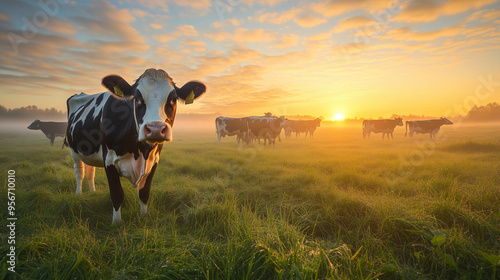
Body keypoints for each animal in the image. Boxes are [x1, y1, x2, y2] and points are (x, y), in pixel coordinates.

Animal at [66, 68, 205, 223]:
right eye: (137, 99)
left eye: (173, 99)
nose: (155, 129)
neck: (140, 151)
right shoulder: (109, 160)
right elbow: (117, 194)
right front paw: (117, 223)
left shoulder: (154, 161)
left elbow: (144, 193)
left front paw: (144, 218)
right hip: (74, 151)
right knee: (79, 172)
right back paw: (78, 194)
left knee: (90, 171)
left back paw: (92, 191)